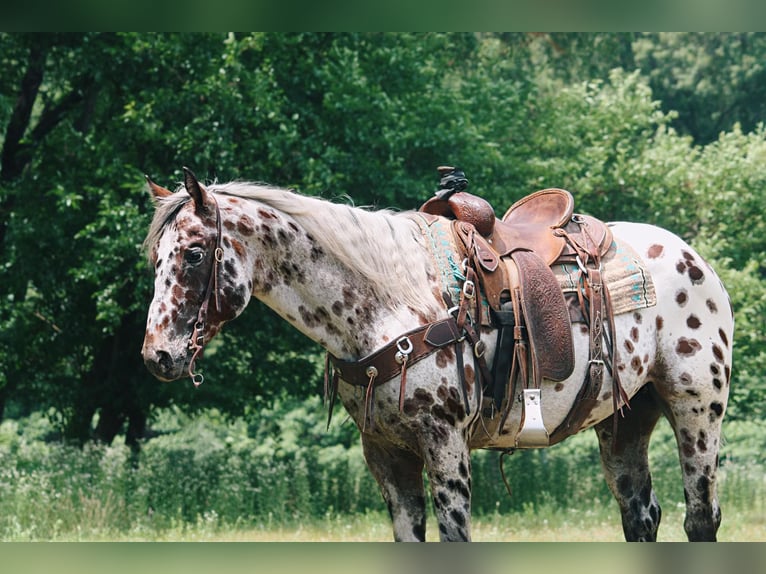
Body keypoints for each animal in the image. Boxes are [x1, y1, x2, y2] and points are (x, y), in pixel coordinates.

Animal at [141, 168, 736, 544]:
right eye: (157, 256)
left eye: (194, 254)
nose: (157, 356)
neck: (386, 302)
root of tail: (694, 258)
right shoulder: (385, 453)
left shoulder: (445, 444)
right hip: (624, 421)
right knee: (641, 516)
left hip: (696, 411)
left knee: (700, 517)